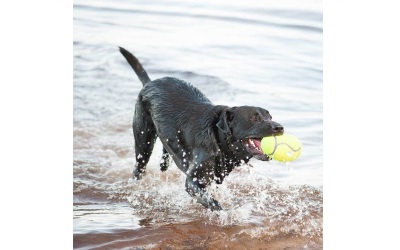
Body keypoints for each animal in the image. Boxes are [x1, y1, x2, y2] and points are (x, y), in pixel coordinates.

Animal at [119, 47, 284, 211]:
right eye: (255, 118)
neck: (218, 140)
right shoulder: (193, 181)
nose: (280, 127)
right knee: (139, 167)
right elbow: (213, 203)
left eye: (269, 116)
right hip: (143, 141)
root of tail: (150, 83)